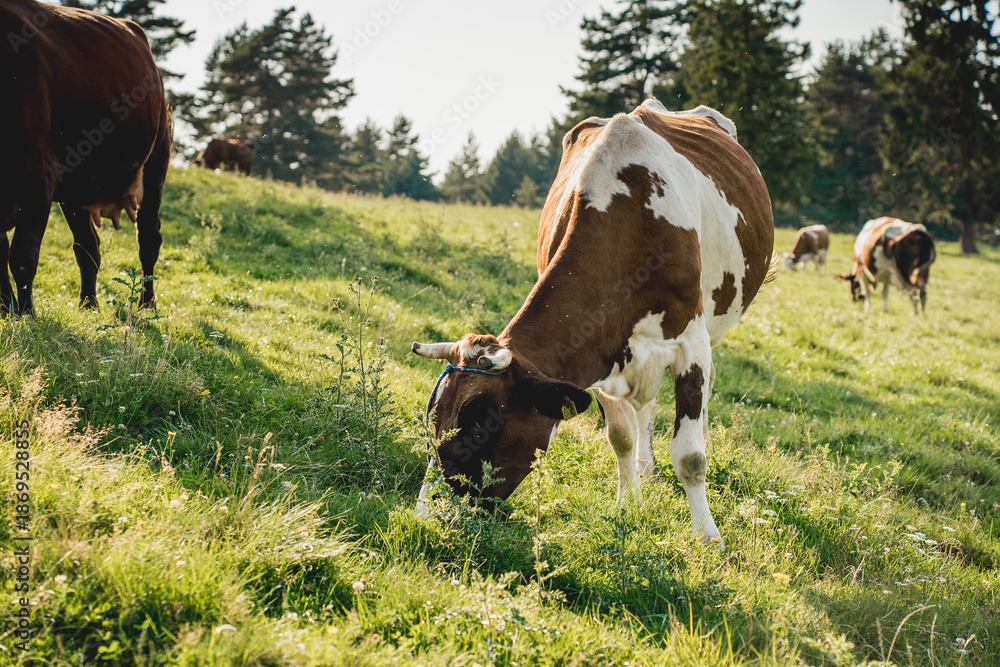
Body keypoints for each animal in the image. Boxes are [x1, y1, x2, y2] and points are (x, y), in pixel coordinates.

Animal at [0, 0, 171, 315]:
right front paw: (7, 310)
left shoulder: (38, 179)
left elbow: (22, 257)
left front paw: (25, 314)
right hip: (75, 188)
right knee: (88, 245)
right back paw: (88, 302)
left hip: (157, 160)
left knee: (148, 238)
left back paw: (147, 304)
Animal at [411, 99, 774, 549]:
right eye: (433, 420)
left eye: (480, 427)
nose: (428, 515)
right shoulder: (597, 355)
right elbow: (620, 435)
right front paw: (629, 503)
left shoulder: (691, 342)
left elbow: (690, 456)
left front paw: (707, 537)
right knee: (644, 410)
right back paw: (645, 468)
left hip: (713, 327)